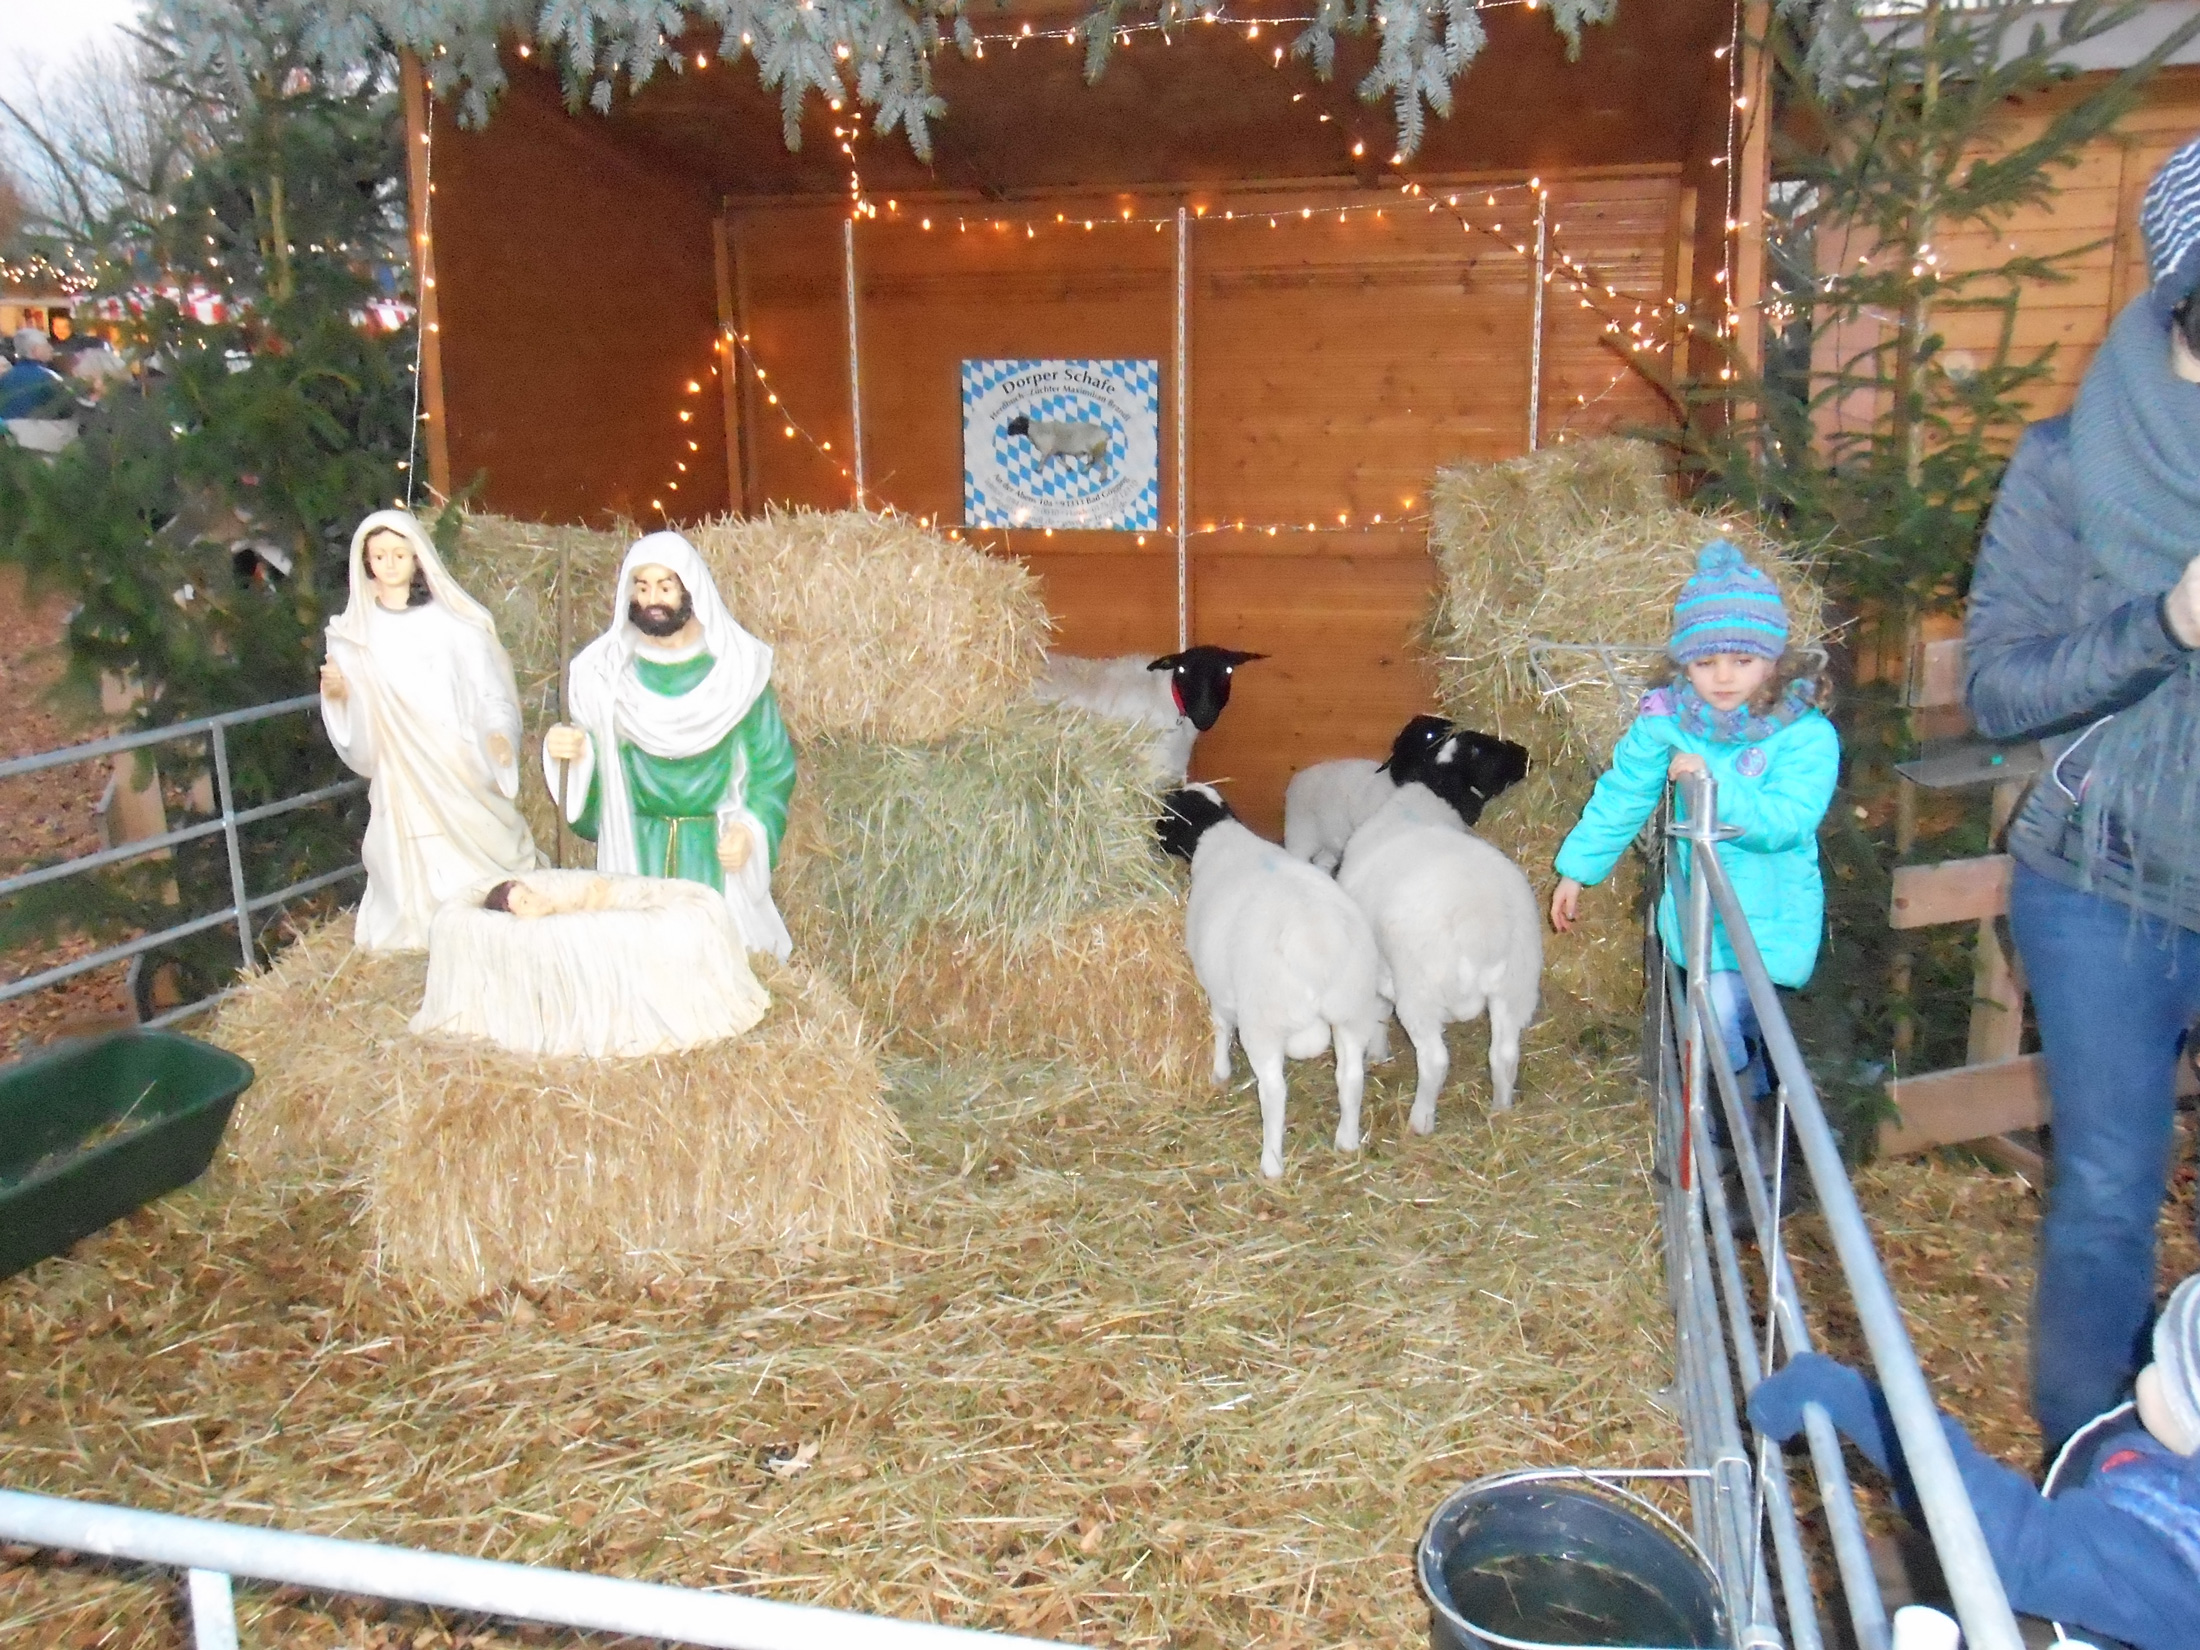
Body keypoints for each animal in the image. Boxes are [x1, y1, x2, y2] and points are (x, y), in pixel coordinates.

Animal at [1161, 783, 1381, 1179]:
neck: (1218, 834)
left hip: (1265, 1022)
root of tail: (1317, 944)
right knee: (1351, 1077)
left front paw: (1219, 1073)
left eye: (1168, 812)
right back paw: (1347, 1141)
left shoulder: (1217, 986)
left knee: (1275, 1092)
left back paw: (1272, 1164)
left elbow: (1220, 1027)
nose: (1152, 836)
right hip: (1353, 1009)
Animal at [1328, 726, 1540, 1135]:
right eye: (1491, 748)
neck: (1428, 798)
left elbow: (1379, 1011)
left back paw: (1420, 1119)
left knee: (1435, 1060)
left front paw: (1377, 1052)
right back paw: (1501, 1109)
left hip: (1421, 993)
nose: (1527, 755)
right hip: (1516, 986)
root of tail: (1482, 926)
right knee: (1504, 1053)